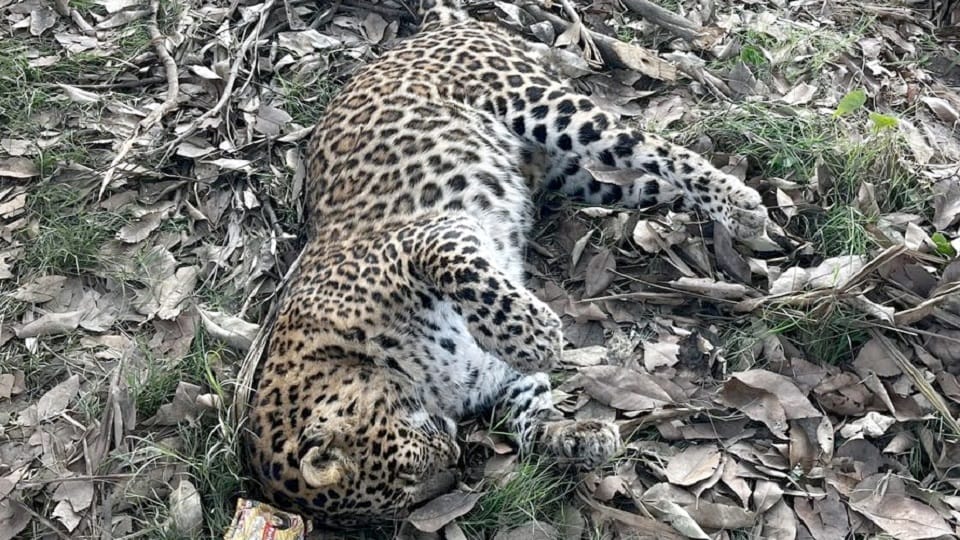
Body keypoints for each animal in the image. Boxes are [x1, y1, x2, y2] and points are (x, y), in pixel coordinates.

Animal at [245, 0, 767, 527]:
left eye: (407, 469)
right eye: (402, 498)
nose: (456, 459)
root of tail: (433, 28)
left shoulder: (433, 234)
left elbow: (464, 273)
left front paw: (535, 336)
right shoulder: (493, 374)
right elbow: (527, 414)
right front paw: (575, 438)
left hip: (537, 104)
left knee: (657, 148)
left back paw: (739, 202)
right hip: (583, 178)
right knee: (653, 181)